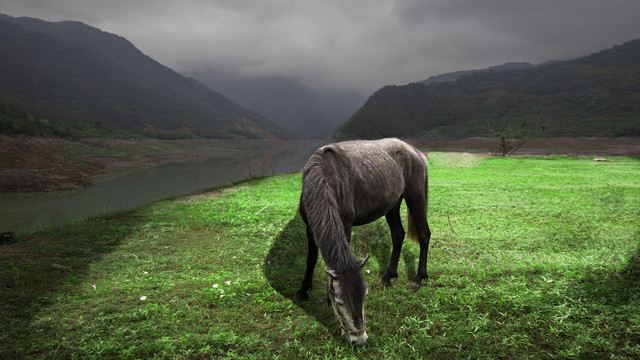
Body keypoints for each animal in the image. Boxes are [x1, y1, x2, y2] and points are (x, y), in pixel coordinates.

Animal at [296, 137, 430, 346]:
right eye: (339, 301)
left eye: (364, 296)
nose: (359, 339)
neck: (324, 176)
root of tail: (414, 151)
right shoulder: (310, 226)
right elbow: (311, 259)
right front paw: (303, 290)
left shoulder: (345, 224)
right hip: (392, 203)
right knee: (398, 235)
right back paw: (388, 276)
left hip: (415, 197)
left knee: (424, 235)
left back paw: (417, 279)